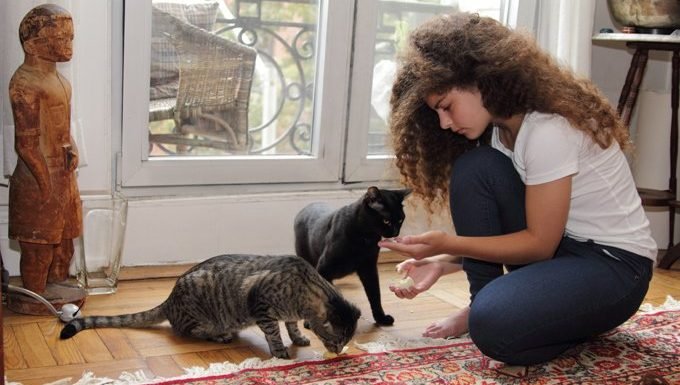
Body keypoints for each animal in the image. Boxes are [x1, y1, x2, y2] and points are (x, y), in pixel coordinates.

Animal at [61, 254, 364, 358]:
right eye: (337, 340)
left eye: (345, 341)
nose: (339, 351)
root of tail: (169, 299)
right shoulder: (261, 305)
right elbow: (274, 333)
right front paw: (280, 351)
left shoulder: (289, 314)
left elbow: (291, 326)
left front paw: (299, 336)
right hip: (201, 314)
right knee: (189, 330)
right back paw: (220, 334)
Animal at [292, 185, 410, 324]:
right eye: (386, 221)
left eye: (400, 220)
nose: (396, 232)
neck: (364, 238)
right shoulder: (323, 269)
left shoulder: (369, 268)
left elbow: (375, 295)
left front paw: (381, 318)